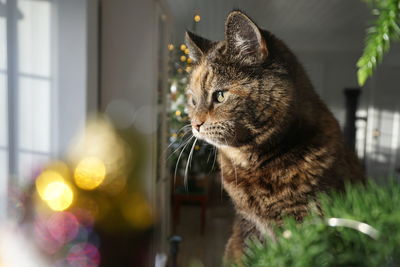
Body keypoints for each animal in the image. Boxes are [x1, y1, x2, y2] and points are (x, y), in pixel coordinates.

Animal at [184, 9, 366, 264]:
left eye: (220, 95)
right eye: (192, 99)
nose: (195, 124)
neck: (253, 166)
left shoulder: (314, 220)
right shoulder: (248, 225)